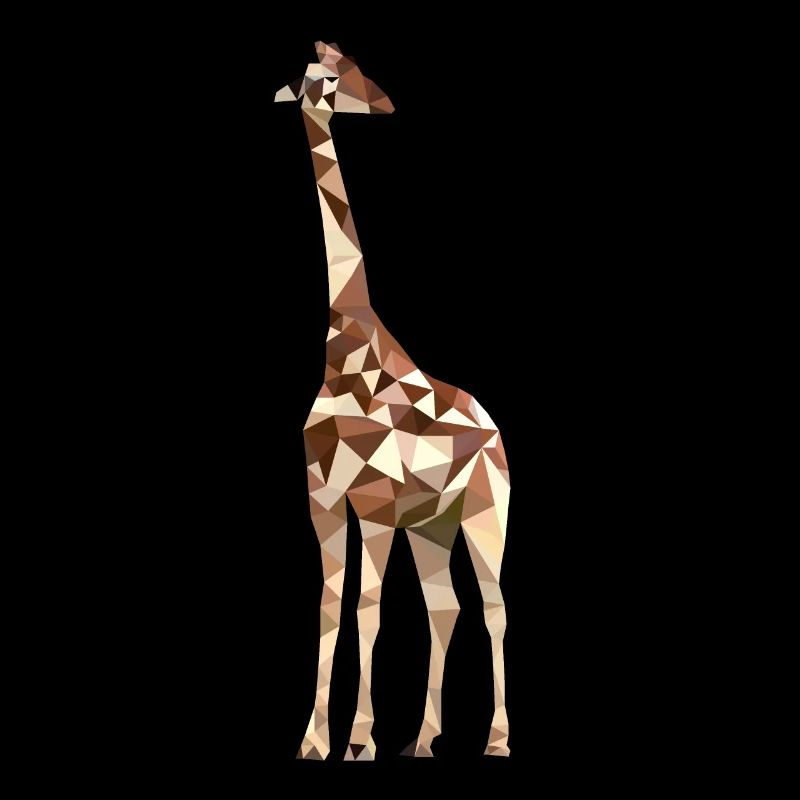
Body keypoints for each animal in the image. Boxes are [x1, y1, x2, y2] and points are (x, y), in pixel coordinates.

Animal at [276, 42, 510, 761]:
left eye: (351, 62)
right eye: (327, 76)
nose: (384, 102)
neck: (346, 347)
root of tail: (497, 432)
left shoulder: (376, 505)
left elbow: (368, 607)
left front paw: (357, 739)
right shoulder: (324, 501)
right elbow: (331, 604)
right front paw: (317, 740)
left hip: (487, 514)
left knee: (494, 606)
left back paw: (496, 741)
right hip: (434, 526)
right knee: (446, 606)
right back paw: (424, 739)